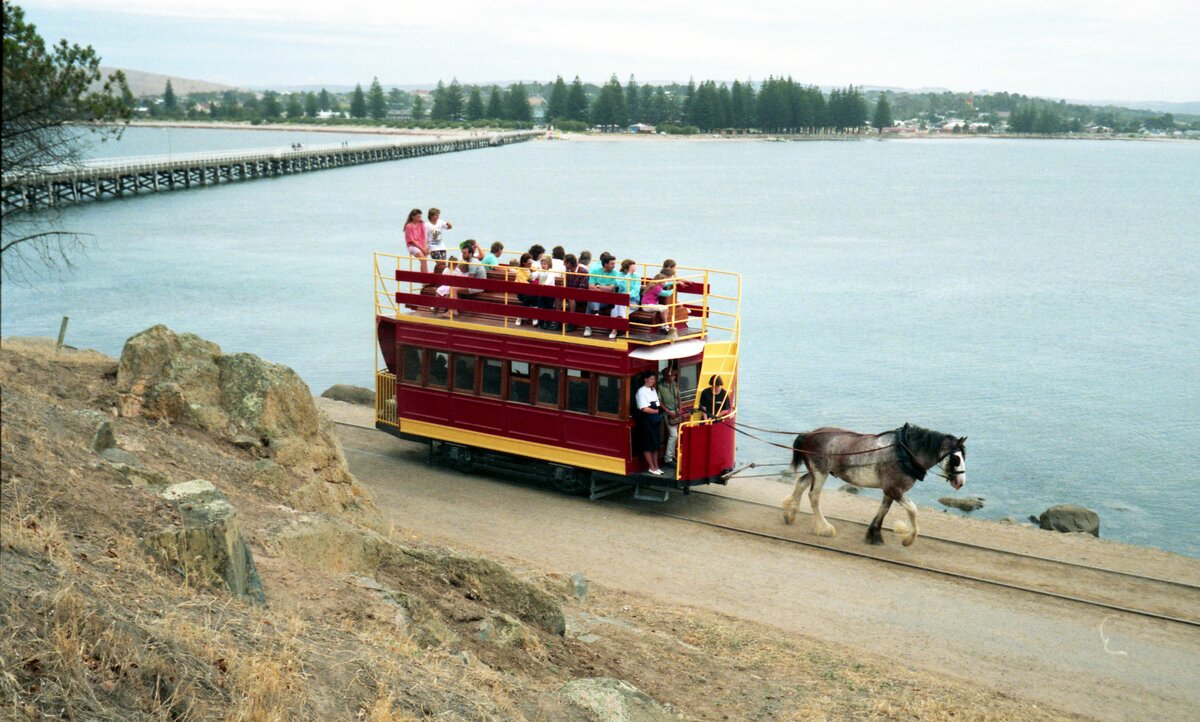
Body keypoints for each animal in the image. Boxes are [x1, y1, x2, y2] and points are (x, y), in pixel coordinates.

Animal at [781, 423, 967, 547]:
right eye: (956, 459)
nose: (960, 483)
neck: (903, 453)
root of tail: (809, 434)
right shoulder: (895, 490)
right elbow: (913, 510)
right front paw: (908, 538)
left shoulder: (890, 490)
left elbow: (884, 510)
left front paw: (874, 534)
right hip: (820, 473)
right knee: (814, 496)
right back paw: (824, 528)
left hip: (817, 472)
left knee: (801, 483)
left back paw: (790, 514)